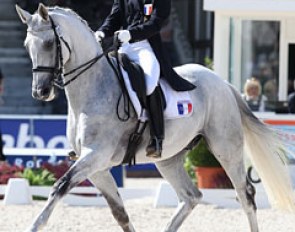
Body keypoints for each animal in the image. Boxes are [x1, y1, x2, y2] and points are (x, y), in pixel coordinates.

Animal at [15, 3, 295, 232]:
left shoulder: (96, 156)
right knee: (191, 196)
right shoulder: (97, 168)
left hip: (226, 148)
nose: (41, 92)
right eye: (27, 46)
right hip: (168, 158)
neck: (94, 87)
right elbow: (120, 213)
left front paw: (33, 226)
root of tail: (223, 82)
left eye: (49, 44)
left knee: (245, 195)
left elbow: (59, 186)